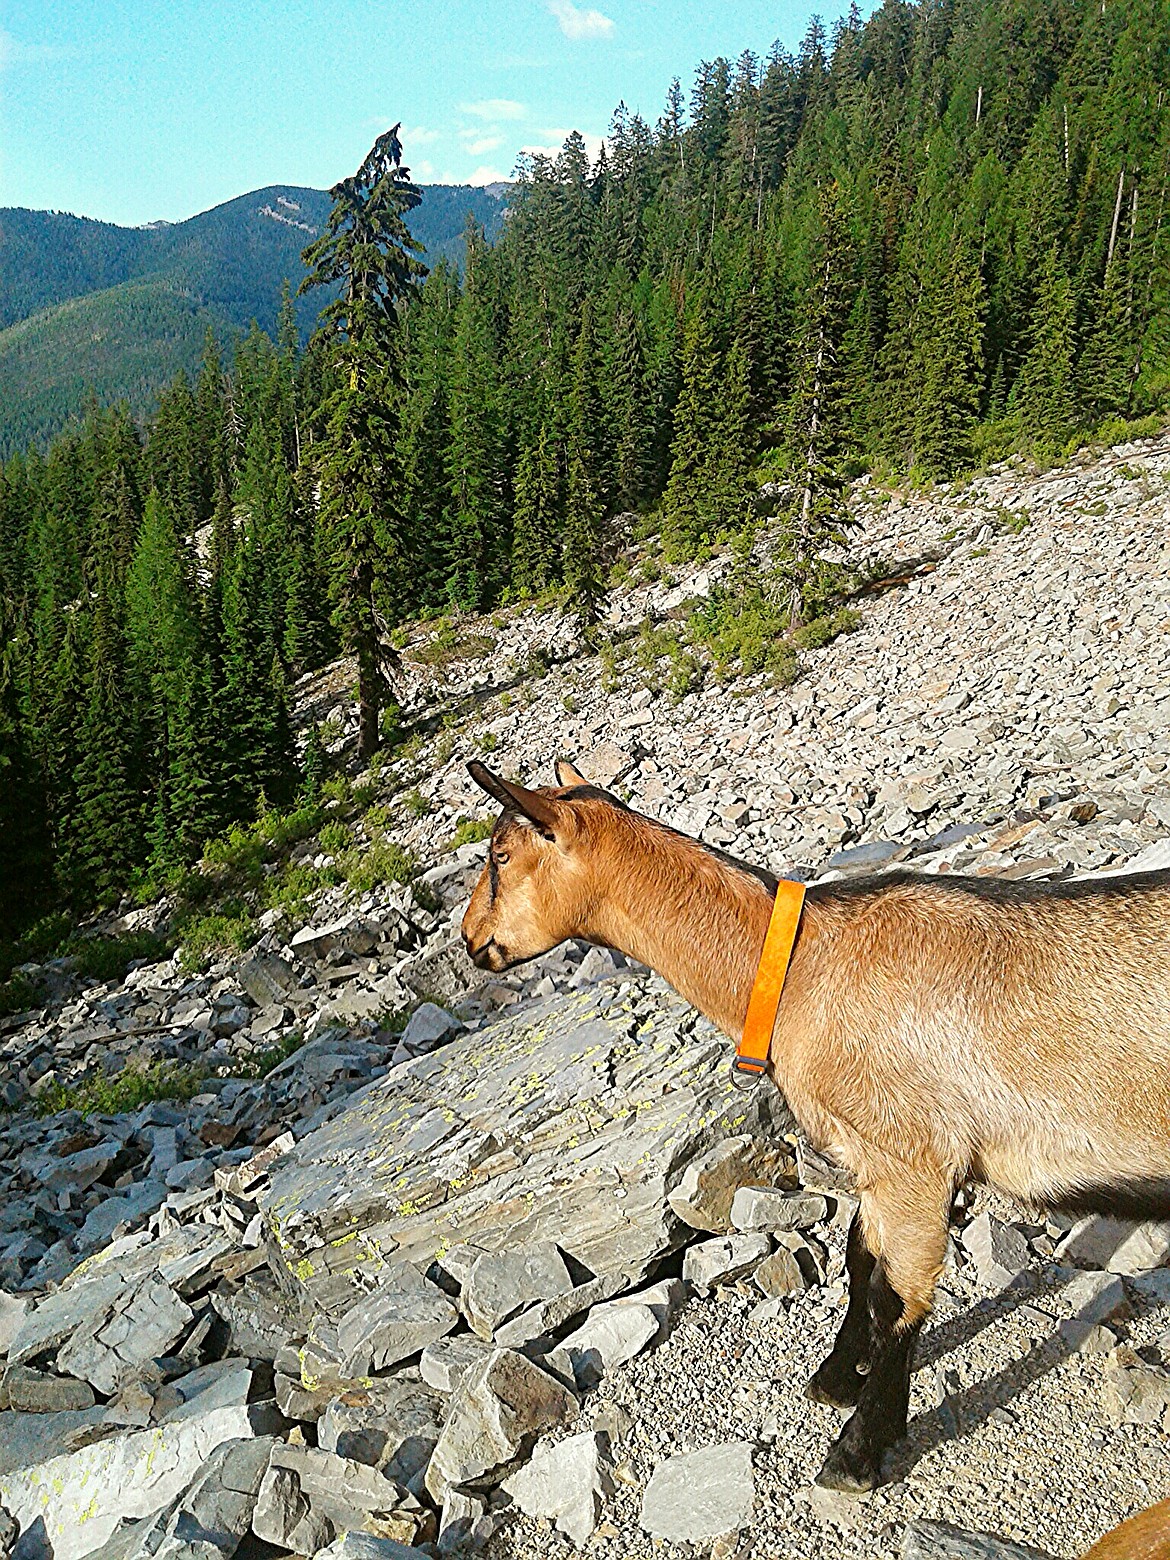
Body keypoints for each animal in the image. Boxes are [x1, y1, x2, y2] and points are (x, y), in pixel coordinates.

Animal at [461, 761, 1170, 1491]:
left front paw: (857, 1452)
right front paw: (834, 1378)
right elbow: (861, 1261)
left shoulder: (913, 1160)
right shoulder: (871, 1161)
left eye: (500, 857)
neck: (803, 969)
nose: (470, 942)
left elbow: (896, 1299)